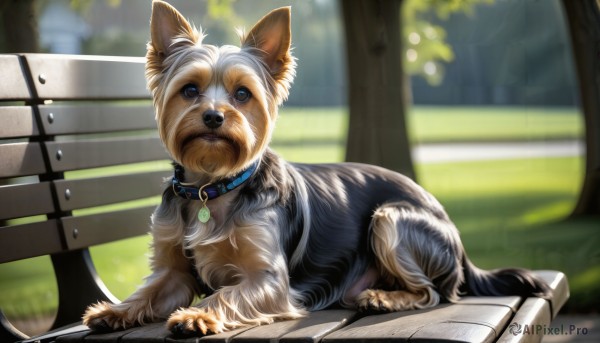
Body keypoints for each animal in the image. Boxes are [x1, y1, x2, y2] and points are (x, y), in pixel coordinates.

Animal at [82, 1, 552, 338]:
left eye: (242, 94)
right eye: (190, 89)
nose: (214, 117)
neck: (213, 185)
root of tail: (455, 234)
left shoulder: (270, 279)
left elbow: (229, 292)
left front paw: (195, 316)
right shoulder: (173, 269)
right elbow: (153, 287)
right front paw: (115, 309)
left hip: (392, 219)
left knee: (433, 292)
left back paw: (384, 298)